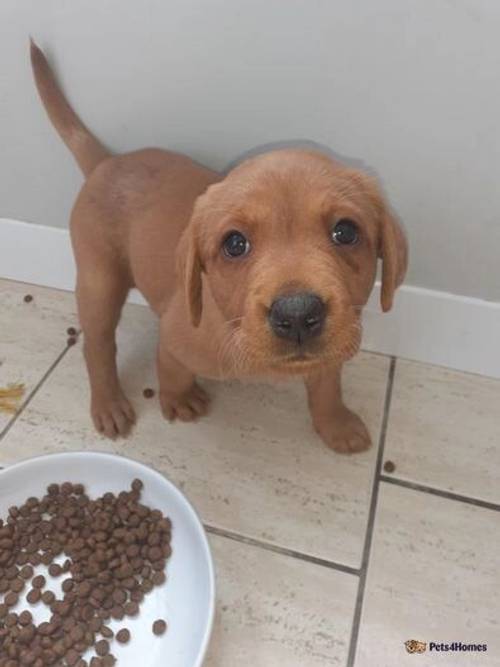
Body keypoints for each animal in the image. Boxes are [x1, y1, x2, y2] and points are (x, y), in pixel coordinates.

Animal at [30, 41, 406, 454]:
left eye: (346, 232)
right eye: (235, 244)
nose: (296, 314)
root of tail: (107, 162)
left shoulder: (333, 348)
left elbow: (327, 384)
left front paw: (335, 422)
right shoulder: (176, 337)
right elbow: (169, 365)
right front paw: (178, 397)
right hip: (99, 281)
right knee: (96, 345)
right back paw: (108, 403)